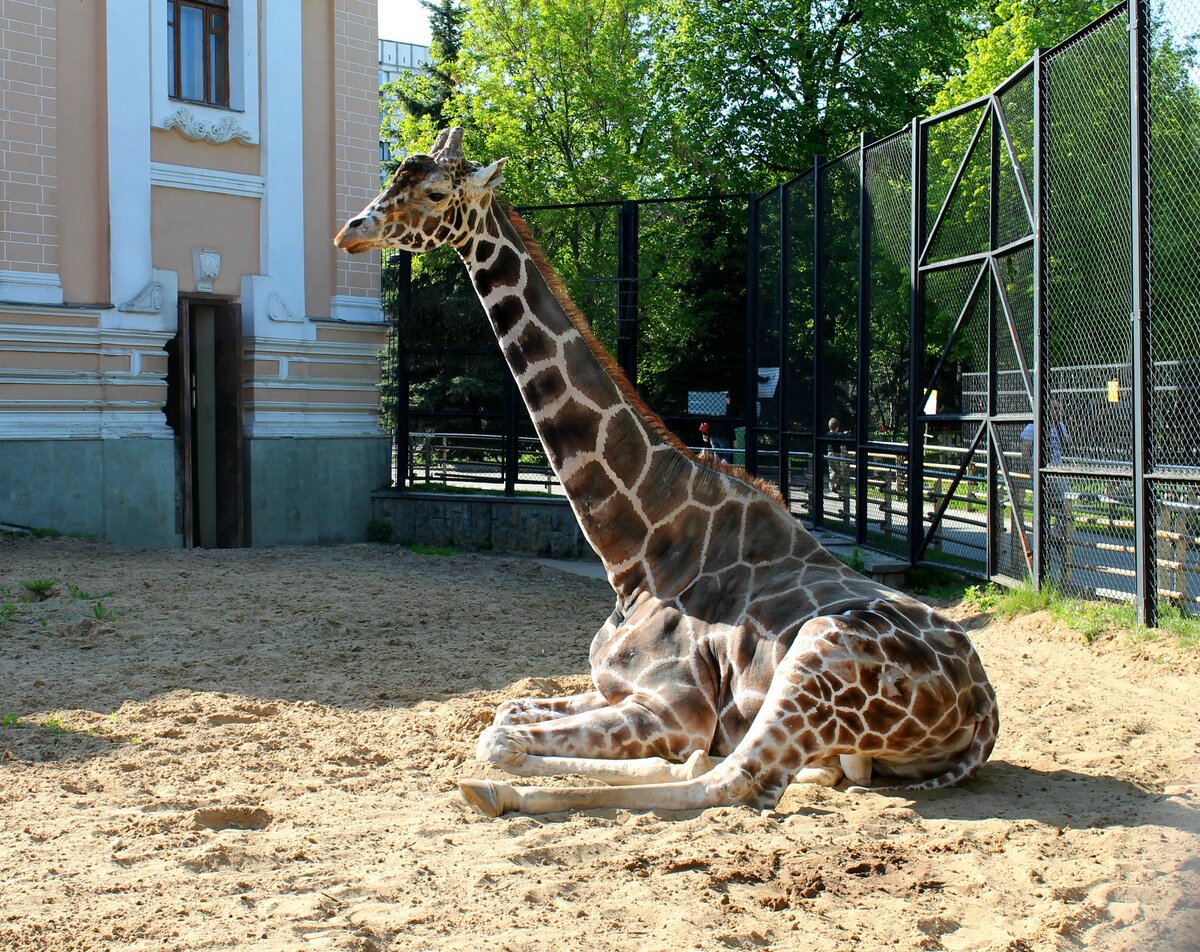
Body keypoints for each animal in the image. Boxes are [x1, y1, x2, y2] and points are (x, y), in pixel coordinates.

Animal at [333, 127, 998, 816]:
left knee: (732, 778)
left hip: (818, 655)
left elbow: (500, 737)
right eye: (394, 178)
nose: (350, 231)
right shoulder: (613, 687)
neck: (639, 551)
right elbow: (505, 715)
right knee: (736, 767)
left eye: (436, 192)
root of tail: (983, 713)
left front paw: (503, 773)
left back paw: (500, 792)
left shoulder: (677, 708)